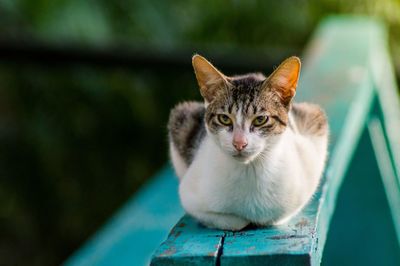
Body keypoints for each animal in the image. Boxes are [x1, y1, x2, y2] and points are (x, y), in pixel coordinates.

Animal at [168, 55, 328, 232]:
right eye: (224, 118)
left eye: (260, 119)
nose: (239, 143)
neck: (250, 170)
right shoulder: (189, 195)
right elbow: (232, 221)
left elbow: (277, 217)